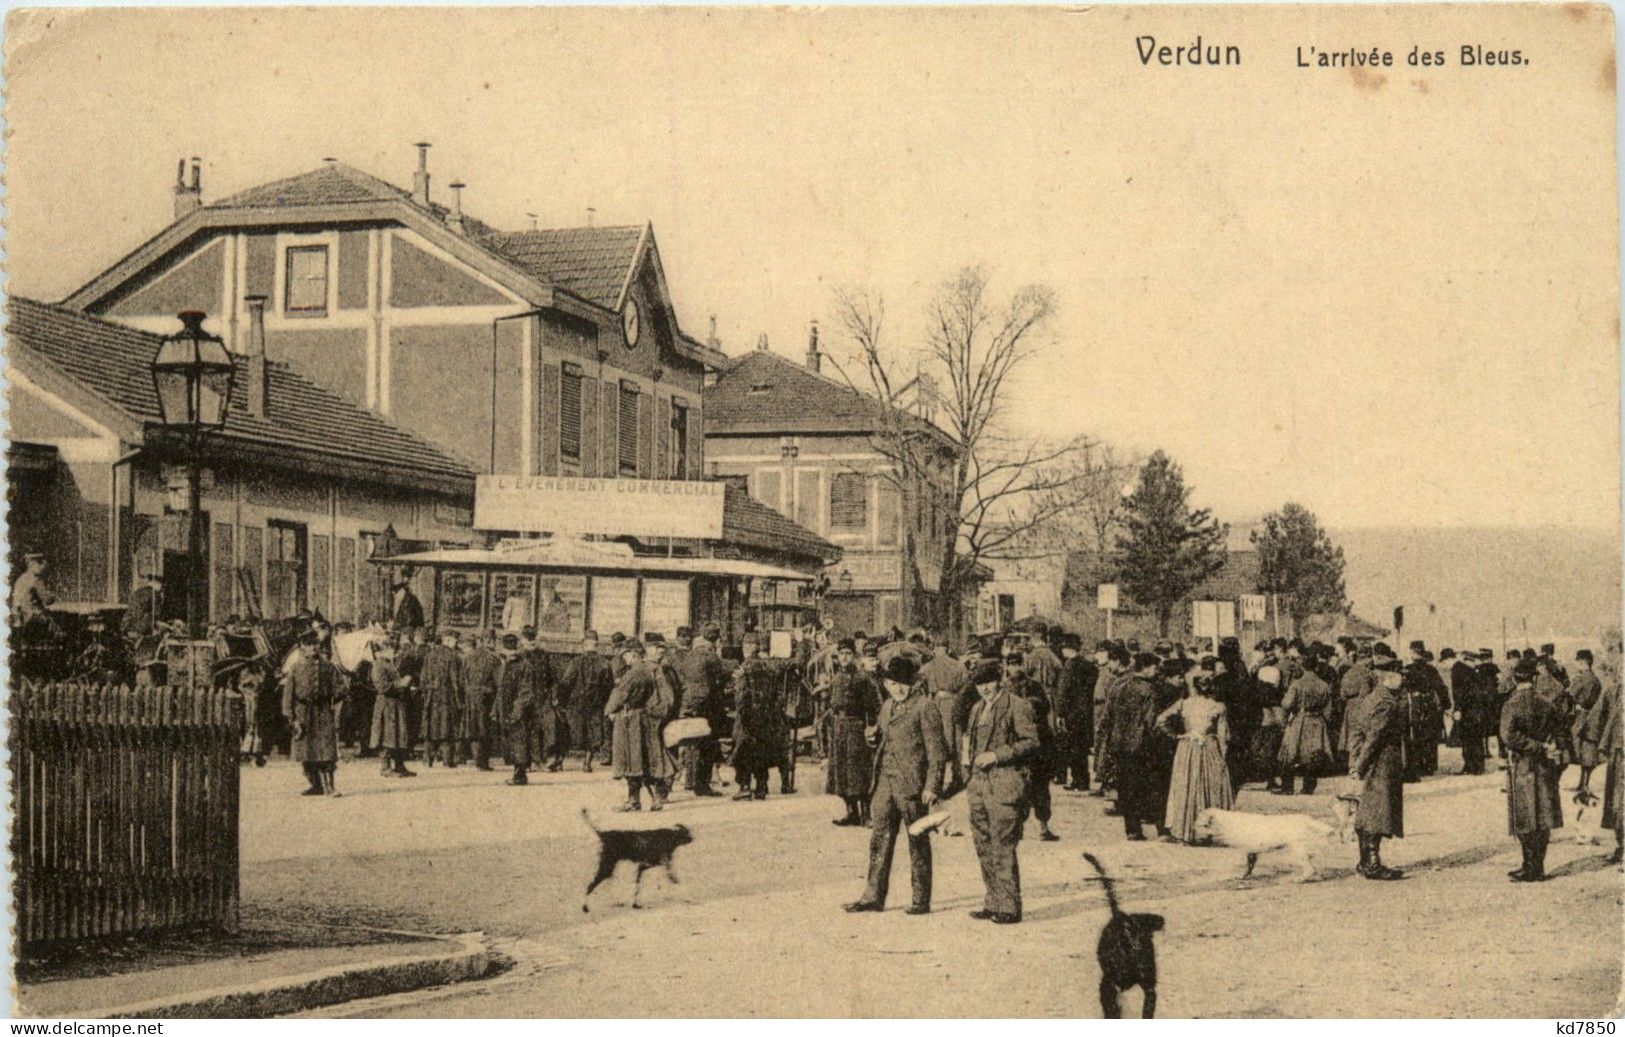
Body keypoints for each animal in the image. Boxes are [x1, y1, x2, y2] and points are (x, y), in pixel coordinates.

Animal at [1202, 809, 1339, 884]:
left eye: (1202, 825)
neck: (1229, 822)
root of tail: (1305, 819)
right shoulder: (1252, 851)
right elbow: (1249, 865)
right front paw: (1244, 876)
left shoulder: (1248, 849)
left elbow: (1248, 864)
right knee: (1315, 864)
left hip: (1296, 850)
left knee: (1309, 868)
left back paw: (1298, 879)